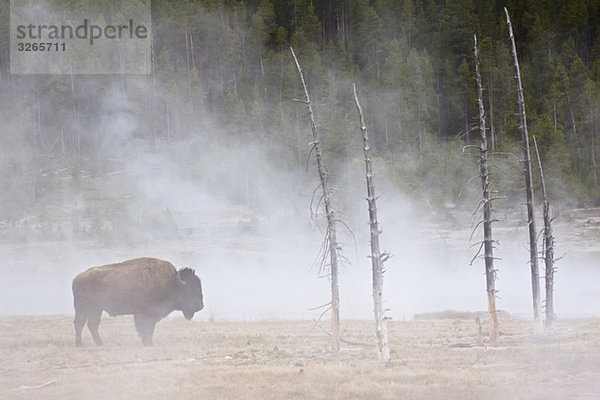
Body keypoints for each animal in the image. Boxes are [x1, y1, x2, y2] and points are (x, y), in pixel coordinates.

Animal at [71, 256, 203, 346]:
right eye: (190, 289)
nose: (200, 306)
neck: (172, 282)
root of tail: (76, 278)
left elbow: (149, 328)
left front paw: (147, 342)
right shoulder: (145, 314)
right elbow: (146, 328)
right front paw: (148, 343)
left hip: (96, 309)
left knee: (91, 324)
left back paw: (99, 343)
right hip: (83, 308)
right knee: (79, 323)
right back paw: (80, 344)